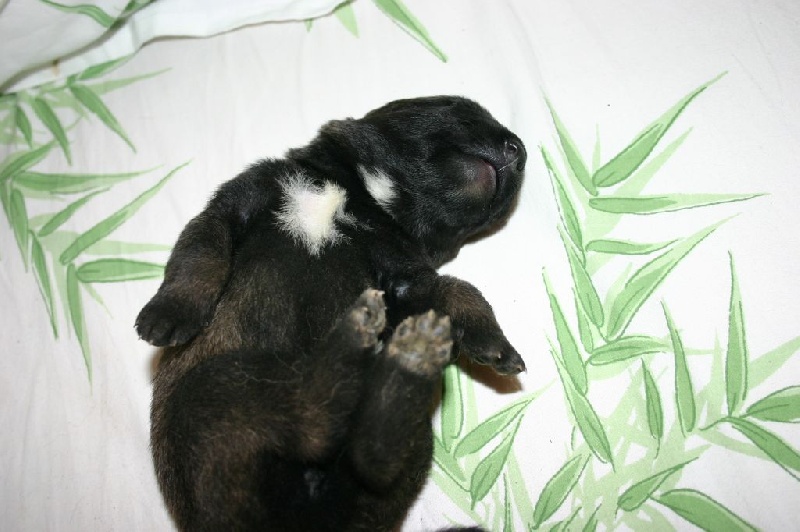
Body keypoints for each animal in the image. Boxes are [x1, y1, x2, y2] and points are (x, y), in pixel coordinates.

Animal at [135, 96, 527, 531]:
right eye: (462, 112)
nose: (519, 151)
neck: (361, 198)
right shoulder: (238, 202)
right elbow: (198, 257)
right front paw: (169, 312)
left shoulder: (407, 278)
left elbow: (461, 292)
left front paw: (493, 342)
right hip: (212, 395)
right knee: (315, 424)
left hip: (400, 451)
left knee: (363, 452)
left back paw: (402, 355)